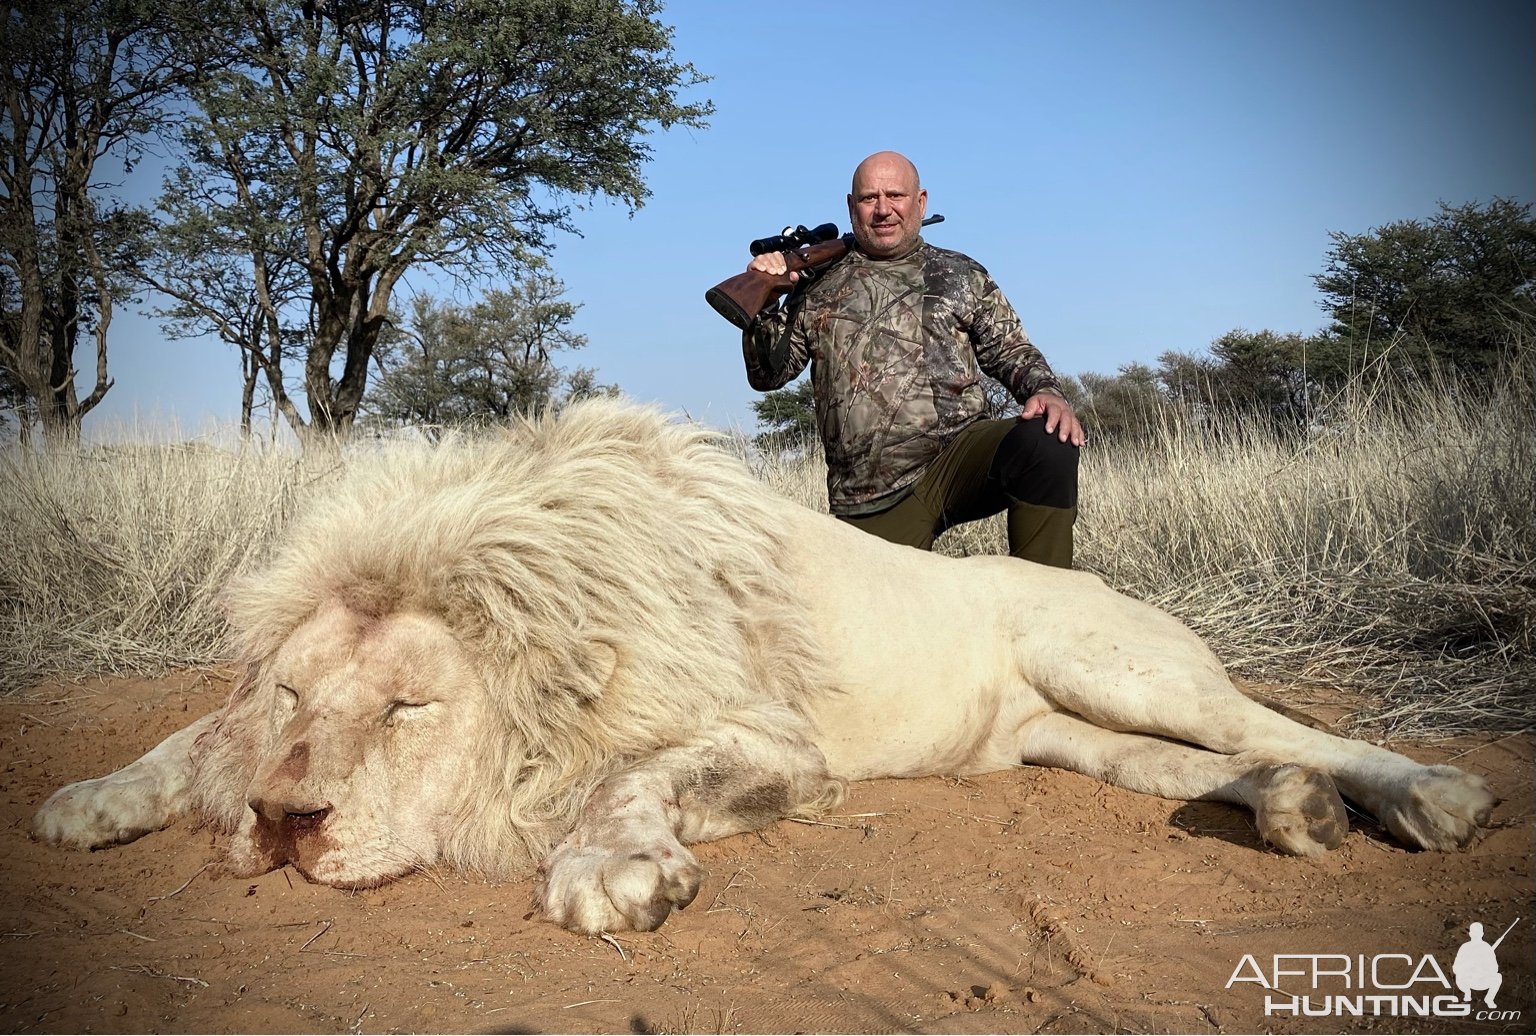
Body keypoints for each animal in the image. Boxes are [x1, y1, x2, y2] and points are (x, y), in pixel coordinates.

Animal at [38, 396, 1499, 928]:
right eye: (295, 690)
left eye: (406, 708)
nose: (286, 825)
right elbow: (193, 739)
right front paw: (92, 802)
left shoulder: (772, 744)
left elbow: (619, 782)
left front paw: (611, 873)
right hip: (1067, 737)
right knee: (1213, 766)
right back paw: (1296, 815)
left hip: (1120, 664)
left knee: (1281, 725)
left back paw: (1429, 795)